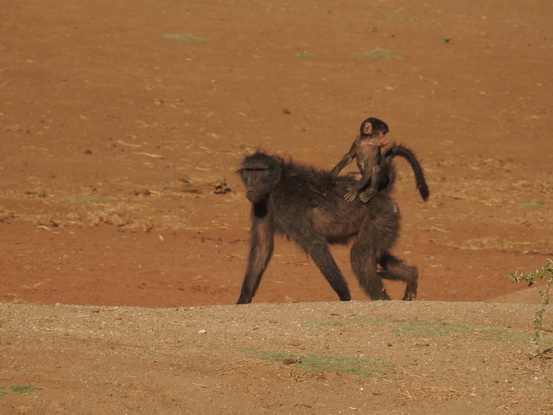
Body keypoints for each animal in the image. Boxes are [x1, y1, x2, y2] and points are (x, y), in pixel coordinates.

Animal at [236, 147, 429, 304]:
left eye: (260, 170)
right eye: (249, 171)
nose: (251, 190)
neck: (276, 182)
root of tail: (378, 192)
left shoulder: (287, 205)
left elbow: (315, 243)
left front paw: (345, 296)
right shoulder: (260, 204)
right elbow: (262, 246)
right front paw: (242, 300)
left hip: (381, 218)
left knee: (360, 254)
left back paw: (382, 298)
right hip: (387, 223)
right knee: (379, 256)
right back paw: (412, 277)